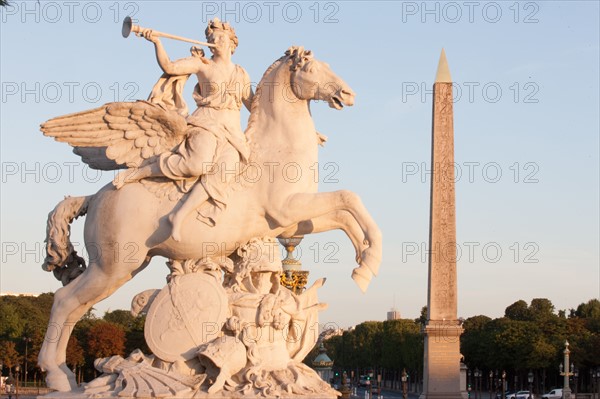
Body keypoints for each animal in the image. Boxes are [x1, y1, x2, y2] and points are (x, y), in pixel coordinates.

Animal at [37, 48, 382, 392]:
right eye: (311, 68)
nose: (347, 94)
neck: (275, 153)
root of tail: (94, 197)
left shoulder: (292, 222)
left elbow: (346, 213)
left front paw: (365, 264)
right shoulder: (288, 210)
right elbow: (348, 198)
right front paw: (368, 261)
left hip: (122, 266)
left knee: (75, 307)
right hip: (113, 266)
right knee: (64, 301)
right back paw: (58, 376)